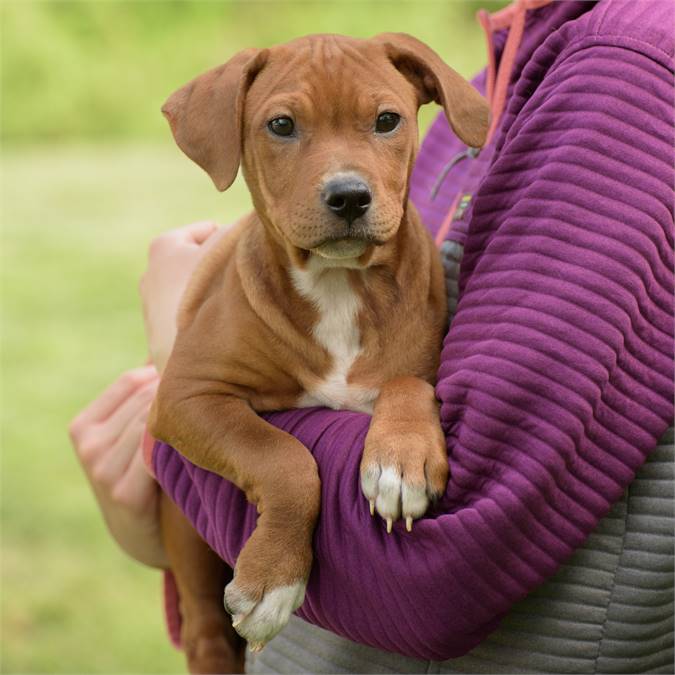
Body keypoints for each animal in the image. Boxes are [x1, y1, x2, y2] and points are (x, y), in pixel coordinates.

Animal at [149, 34, 486, 672]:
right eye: (281, 125)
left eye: (387, 121)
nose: (349, 196)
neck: (338, 284)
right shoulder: (185, 395)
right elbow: (282, 456)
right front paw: (272, 581)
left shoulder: (417, 365)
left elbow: (408, 385)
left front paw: (400, 460)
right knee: (206, 630)